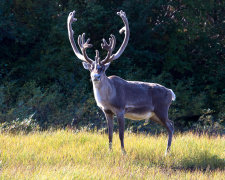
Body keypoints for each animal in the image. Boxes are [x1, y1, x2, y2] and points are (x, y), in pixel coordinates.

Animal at [67, 9, 176, 155]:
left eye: (102, 68)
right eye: (91, 68)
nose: (95, 76)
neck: (107, 98)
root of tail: (171, 93)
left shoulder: (121, 109)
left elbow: (121, 134)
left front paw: (124, 152)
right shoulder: (107, 112)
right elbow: (109, 134)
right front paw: (109, 151)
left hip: (162, 109)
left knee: (170, 126)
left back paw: (166, 152)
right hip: (154, 114)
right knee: (171, 124)